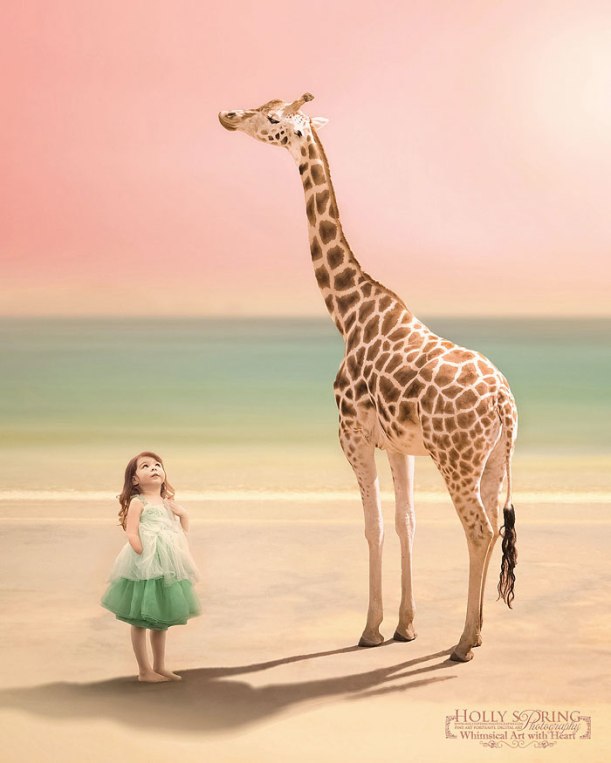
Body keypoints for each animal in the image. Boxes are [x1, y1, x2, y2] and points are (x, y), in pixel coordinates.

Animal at [219, 94, 518, 662]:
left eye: (272, 117)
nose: (227, 116)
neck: (349, 314)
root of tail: (503, 404)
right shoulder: (399, 445)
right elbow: (405, 522)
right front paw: (406, 626)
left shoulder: (351, 434)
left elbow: (372, 525)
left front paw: (371, 629)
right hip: (492, 459)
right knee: (492, 526)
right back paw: (480, 631)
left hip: (456, 458)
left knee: (478, 529)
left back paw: (463, 643)